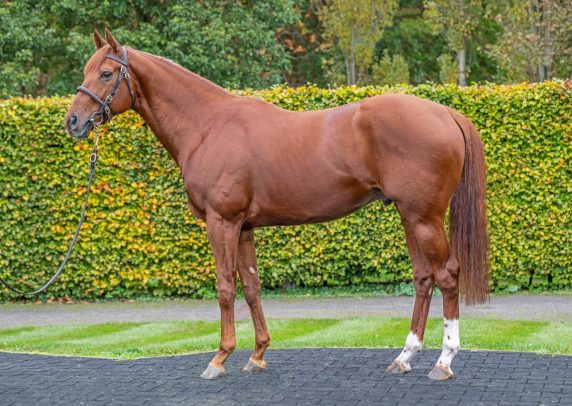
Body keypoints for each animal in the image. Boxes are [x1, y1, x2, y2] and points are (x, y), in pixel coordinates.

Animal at [66, 30, 488, 380]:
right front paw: (257, 355)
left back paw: (443, 362)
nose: (73, 121)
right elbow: (252, 287)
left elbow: (225, 287)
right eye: (87, 69)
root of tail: (445, 112)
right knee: (423, 277)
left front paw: (219, 358)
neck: (208, 126)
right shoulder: (244, 227)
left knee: (447, 274)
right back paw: (404, 356)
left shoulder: (222, 222)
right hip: (409, 215)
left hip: (424, 217)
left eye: (106, 73)